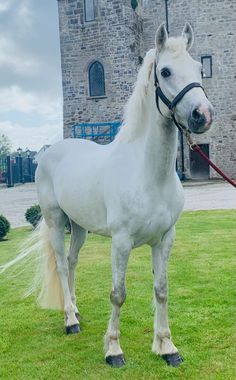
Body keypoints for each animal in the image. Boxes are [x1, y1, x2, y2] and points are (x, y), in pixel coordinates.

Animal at [0, 23, 214, 368]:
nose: (202, 115)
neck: (148, 174)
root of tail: (48, 152)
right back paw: (69, 321)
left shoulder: (165, 239)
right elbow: (118, 293)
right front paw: (114, 350)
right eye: (165, 71)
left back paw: (75, 310)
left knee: (72, 261)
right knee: (61, 265)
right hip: (55, 220)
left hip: (79, 227)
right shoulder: (121, 242)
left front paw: (167, 347)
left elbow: (161, 289)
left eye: (198, 68)